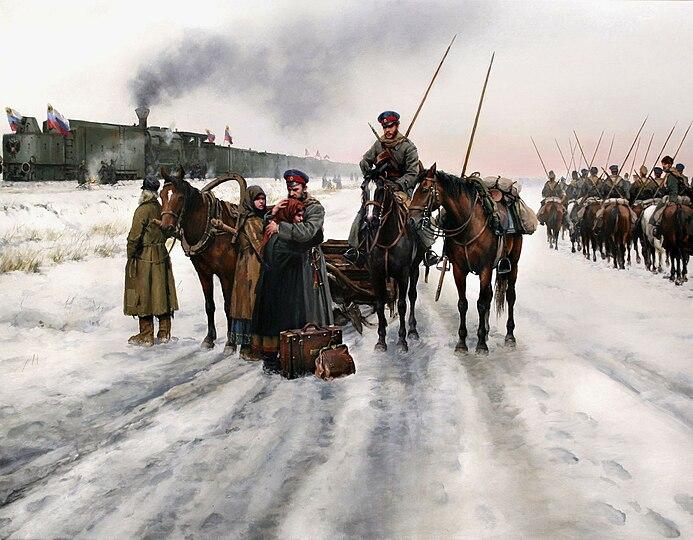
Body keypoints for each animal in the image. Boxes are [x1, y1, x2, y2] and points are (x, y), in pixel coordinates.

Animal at [158, 167, 247, 349]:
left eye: (180, 197)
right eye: (161, 196)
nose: (166, 227)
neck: (211, 227)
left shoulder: (226, 274)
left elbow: (228, 305)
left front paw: (230, 342)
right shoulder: (203, 273)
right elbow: (209, 305)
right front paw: (209, 338)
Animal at [360, 176, 424, 352]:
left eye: (381, 190)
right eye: (363, 188)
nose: (371, 220)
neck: (386, 238)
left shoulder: (403, 274)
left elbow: (402, 304)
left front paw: (402, 340)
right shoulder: (376, 275)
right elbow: (380, 304)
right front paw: (381, 340)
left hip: (414, 269)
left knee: (412, 296)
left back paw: (413, 330)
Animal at [409, 165, 523, 354]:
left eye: (424, 189)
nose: (410, 221)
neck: (469, 225)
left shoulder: (484, 269)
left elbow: (481, 304)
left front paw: (481, 344)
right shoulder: (459, 270)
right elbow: (463, 303)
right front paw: (462, 342)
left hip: (513, 264)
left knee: (510, 295)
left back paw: (510, 336)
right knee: (490, 295)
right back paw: (488, 330)